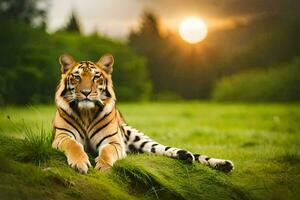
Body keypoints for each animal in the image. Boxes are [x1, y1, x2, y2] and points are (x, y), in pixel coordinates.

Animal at [51, 53, 234, 173]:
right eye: (76, 77)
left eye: (96, 77)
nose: (86, 93)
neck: (86, 113)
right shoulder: (62, 136)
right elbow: (74, 145)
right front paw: (80, 163)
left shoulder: (114, 142)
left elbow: (107, 152)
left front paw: (103, 167)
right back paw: (188, 157)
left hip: (140, 139)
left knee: (165, 149)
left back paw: (214, 162)